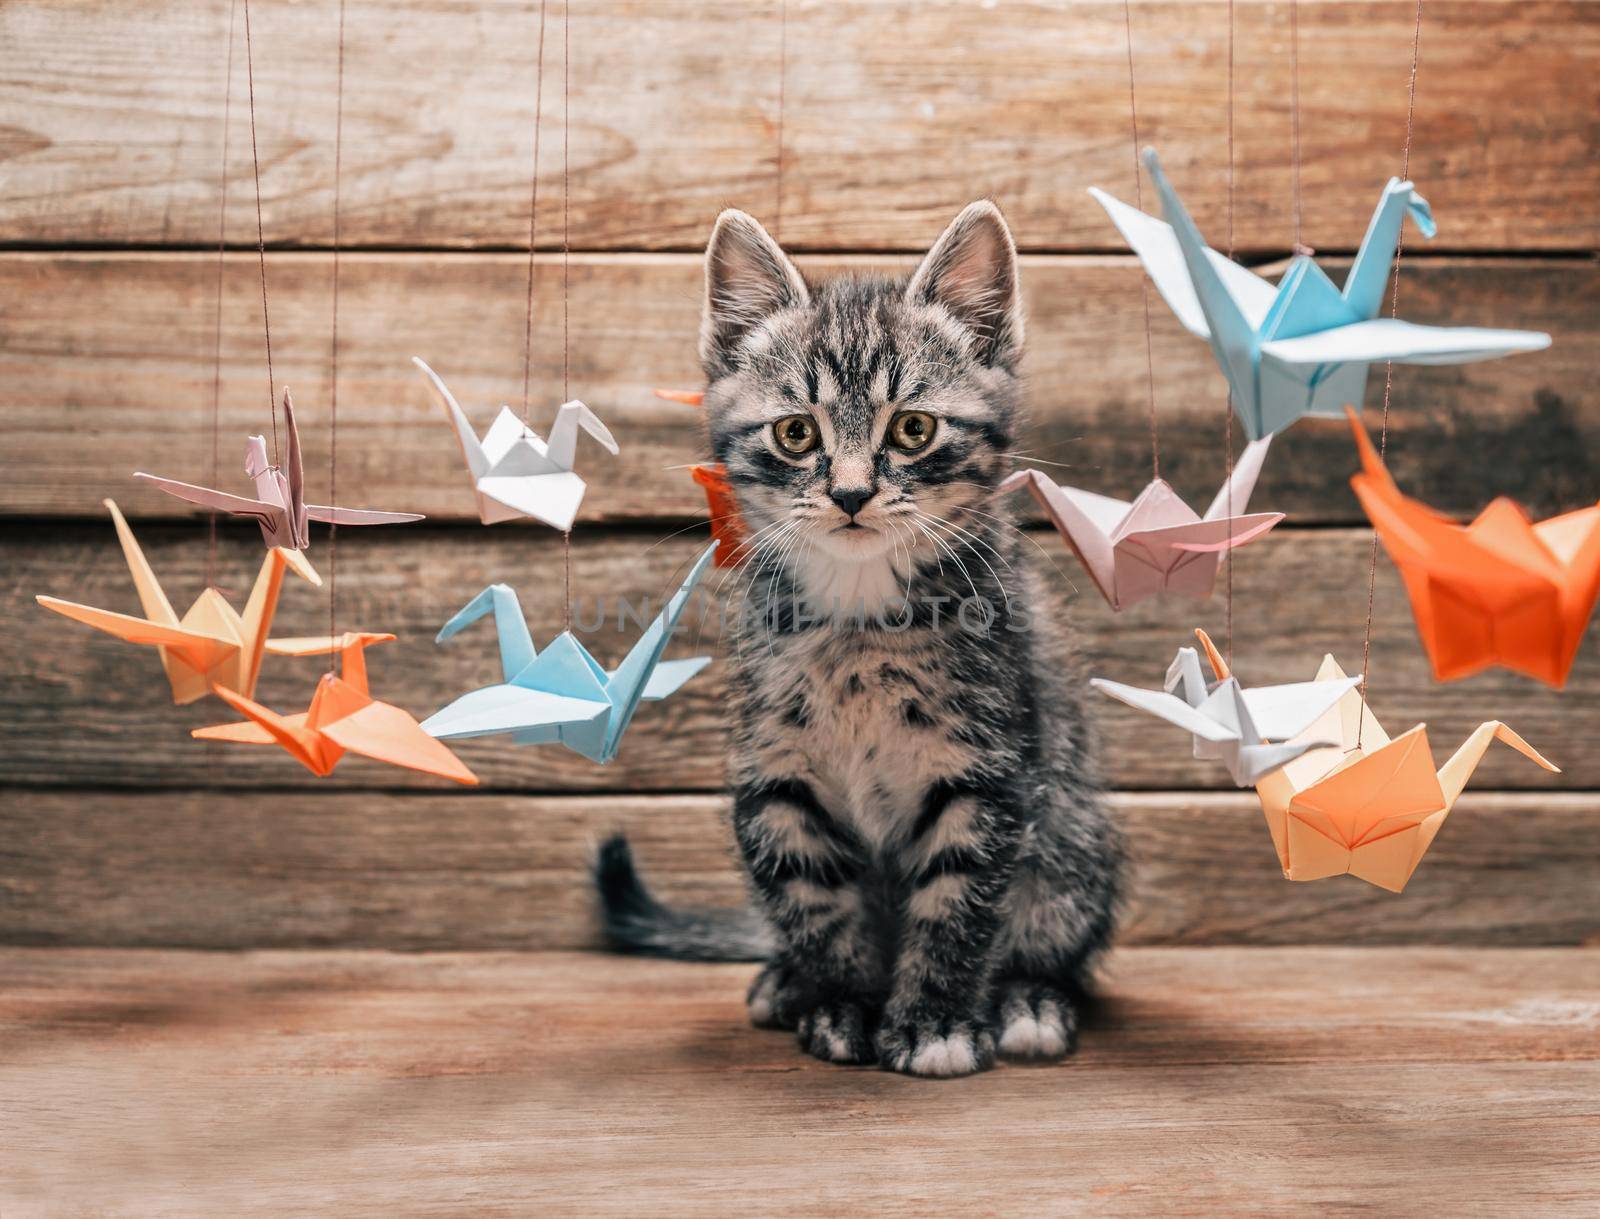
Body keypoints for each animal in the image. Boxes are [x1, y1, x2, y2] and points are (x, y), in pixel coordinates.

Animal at [595, 201, 1120, 1075]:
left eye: (912, 429)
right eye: (796, 434)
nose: (849, 493)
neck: (860, 617)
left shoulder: (987, 772)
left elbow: (957, 903)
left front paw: (935, 1020)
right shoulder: (775, 774)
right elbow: (817, 904)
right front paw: (842, 1002)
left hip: (1075, 837)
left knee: (1054, 928)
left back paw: (1030, 999)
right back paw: (784, 979)